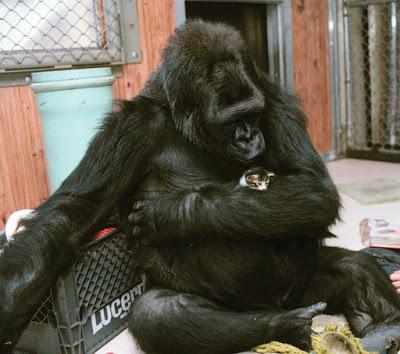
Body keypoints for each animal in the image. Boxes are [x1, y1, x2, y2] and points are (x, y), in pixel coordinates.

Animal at [0, 20, 400, 354]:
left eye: (254, 113)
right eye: (232, 121)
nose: (250, 137)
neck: (186, 126)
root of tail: (278, 306)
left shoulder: (273, 97)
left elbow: (313, 187)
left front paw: (172, 215)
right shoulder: (130, 127)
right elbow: (71, 213)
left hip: (300, 290)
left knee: (355, 264)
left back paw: (380, 327)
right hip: (253, 307)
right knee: (162, 311)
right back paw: (281, 327)